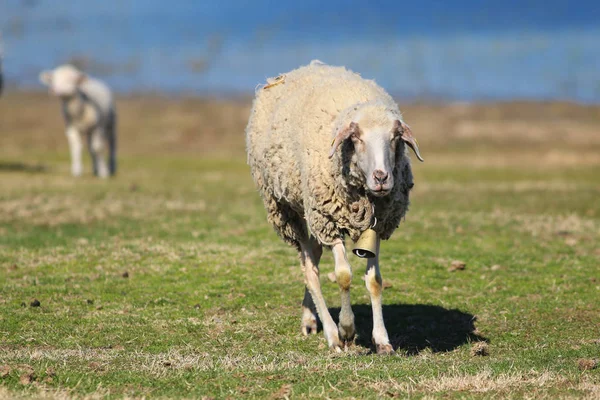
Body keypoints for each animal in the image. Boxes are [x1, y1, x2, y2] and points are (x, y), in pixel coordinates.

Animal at [246, 59, 424, 354]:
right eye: (357, 138)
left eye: (395, 137)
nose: (381, 178)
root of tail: (307, 66)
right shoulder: (329, 220)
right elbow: (343, 276)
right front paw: (347, 329)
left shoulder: (377, 226)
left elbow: (375, 281)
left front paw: (382, 340)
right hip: (288, 208)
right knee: (309, 267)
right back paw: (330, 333)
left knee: (315, 253)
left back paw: (310, 318)